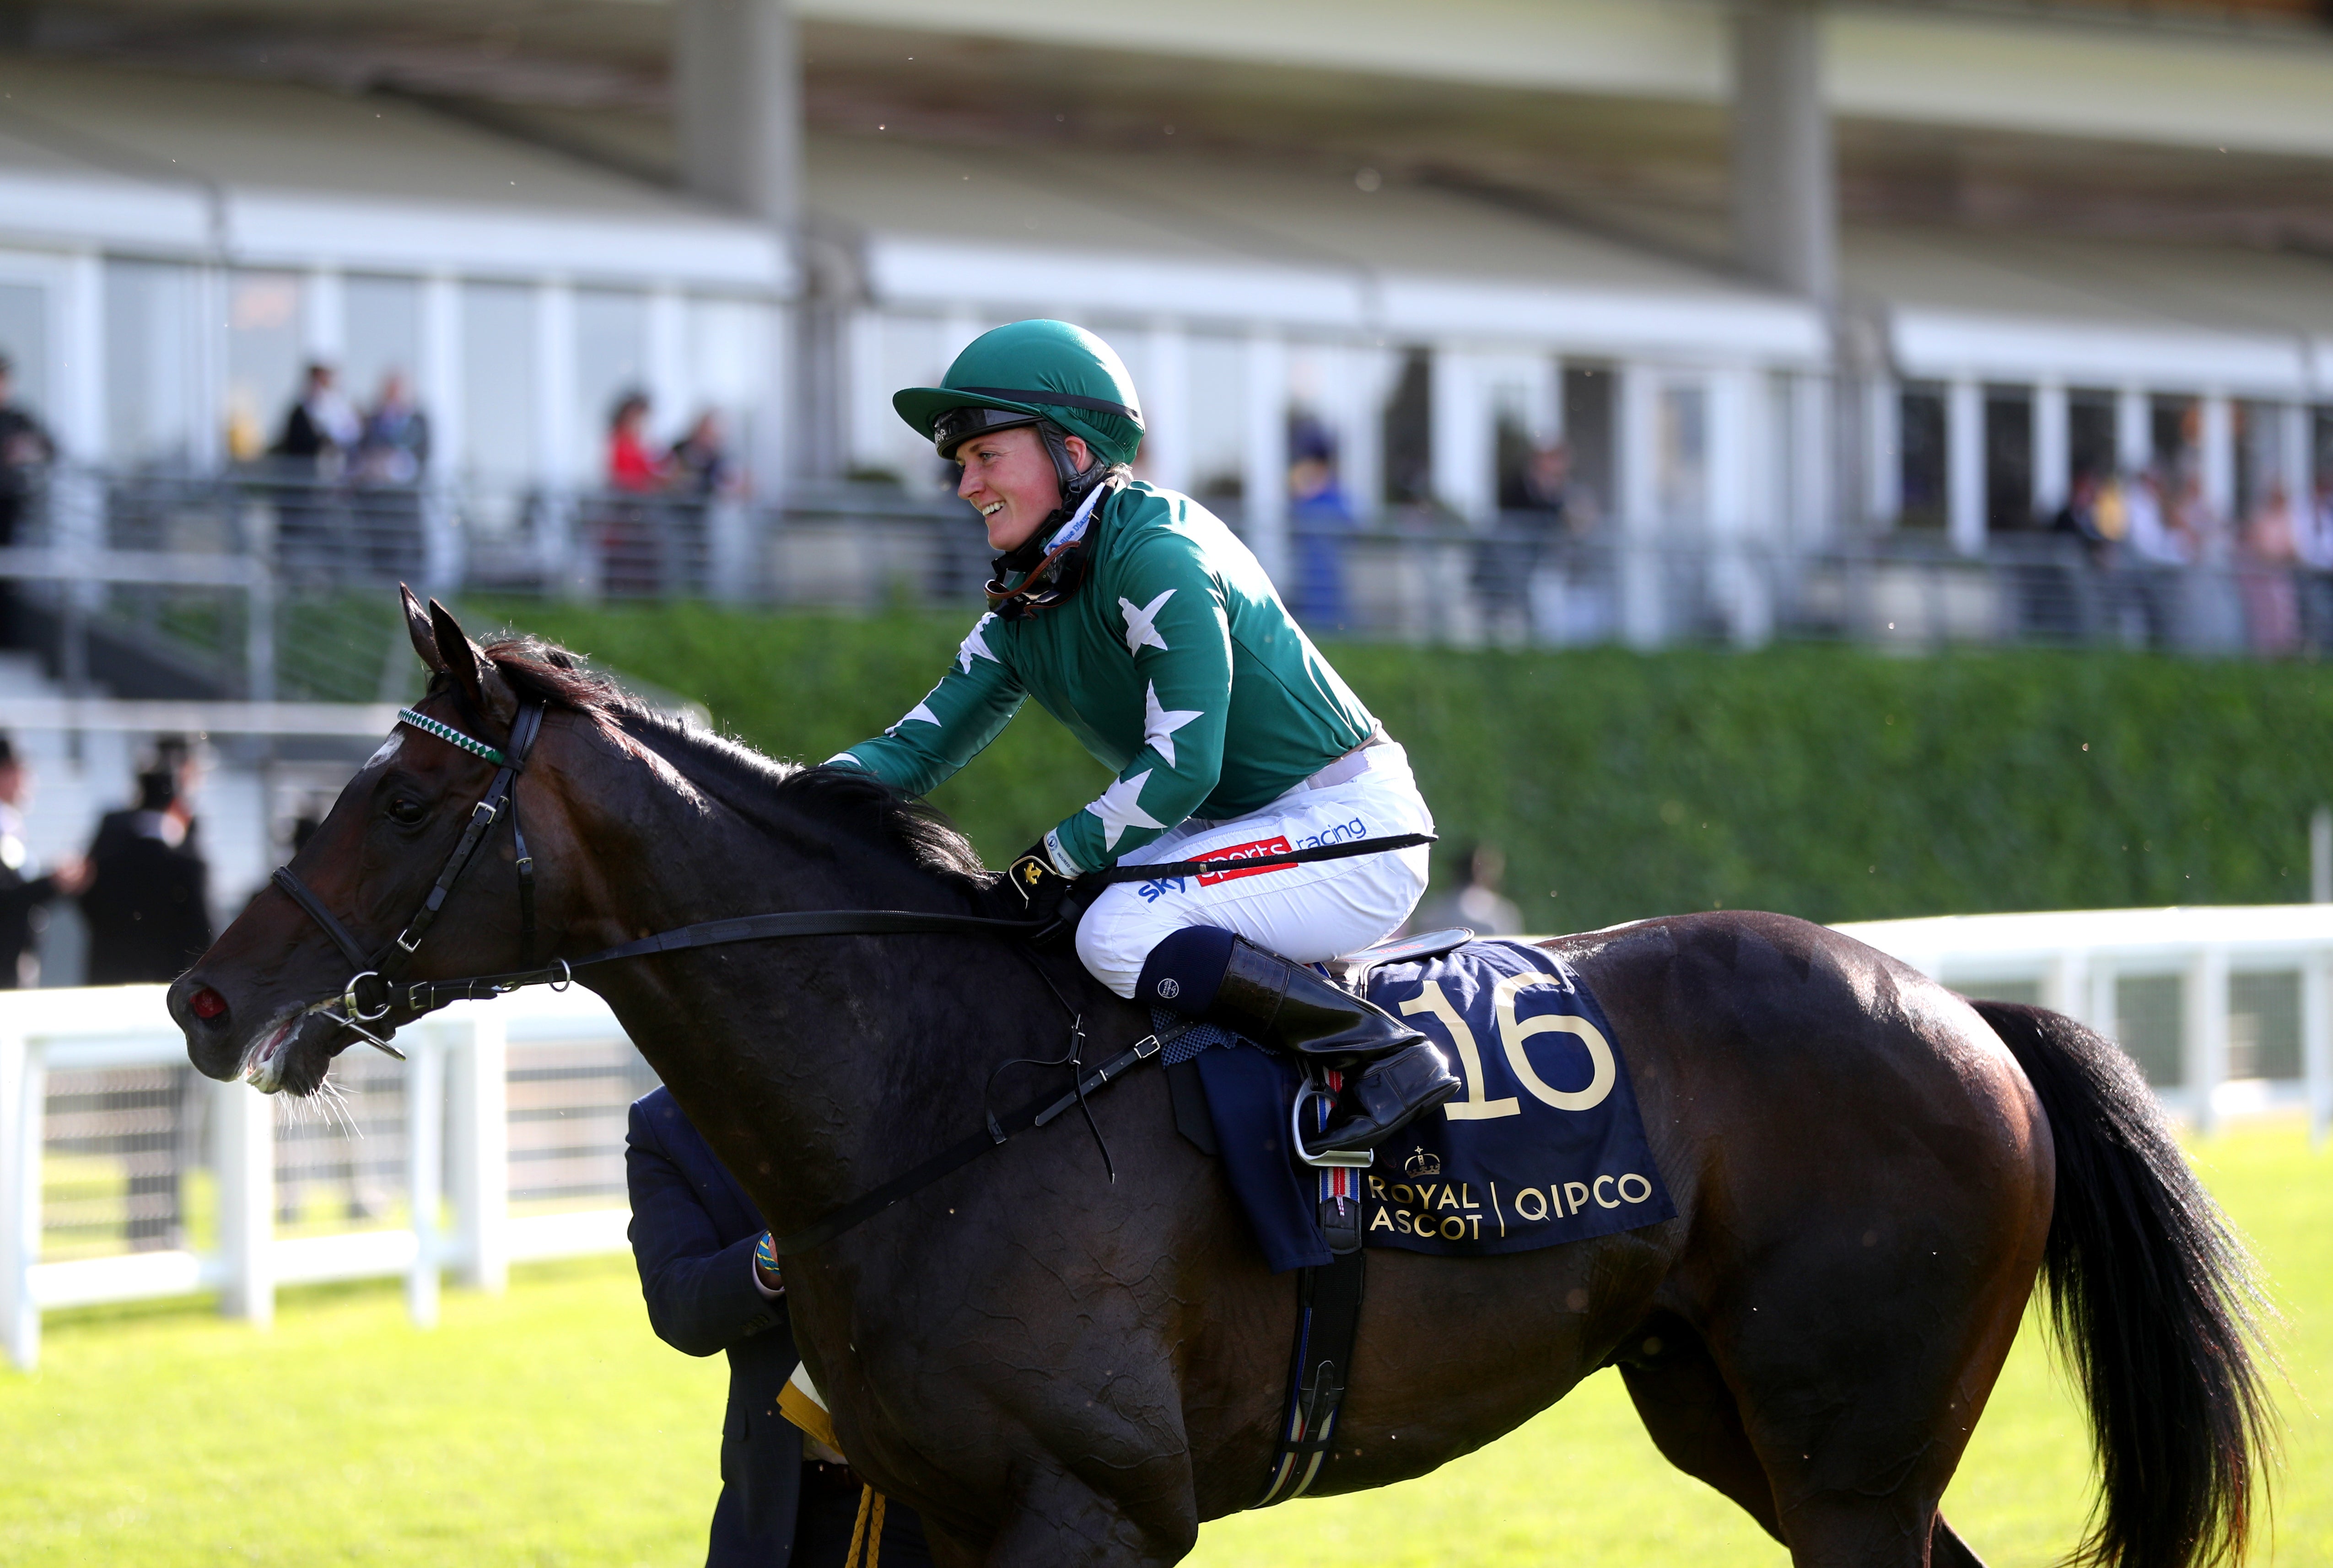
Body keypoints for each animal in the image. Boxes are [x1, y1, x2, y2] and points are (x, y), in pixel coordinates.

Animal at [172, 602, 2268, 1568]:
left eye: (405, 795)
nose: (202, 992)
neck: (926, 1095)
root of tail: (1959, 1008)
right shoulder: (940, 1502)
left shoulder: (1096, 1510)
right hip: (1733, 1413)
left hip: (1843, 1439)